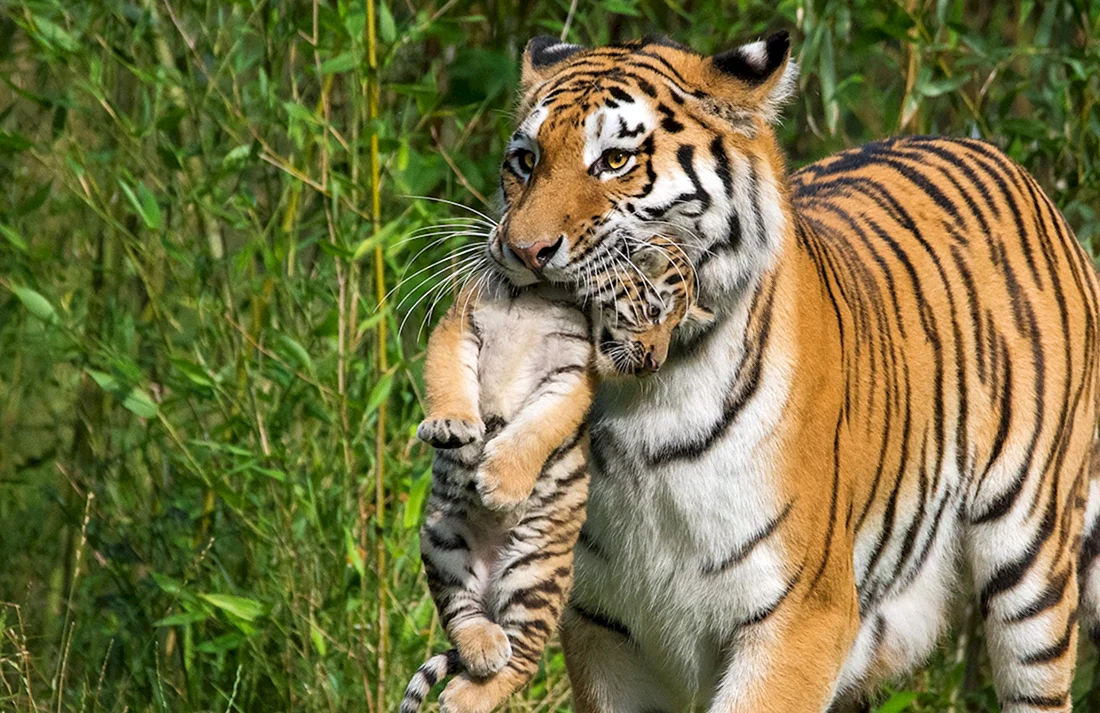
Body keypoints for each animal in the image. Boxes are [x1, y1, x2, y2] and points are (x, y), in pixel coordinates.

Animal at [402, 237, 707, 713]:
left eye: (676, 326)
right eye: (653, 312)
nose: (653, 363)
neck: (536, 294)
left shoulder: (572, 372)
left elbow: (539, 426)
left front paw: (501, 484)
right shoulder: (459, 326)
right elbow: (447, 377)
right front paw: (449, 426)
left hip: (534, 573)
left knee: (522, 660)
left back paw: (464, 695)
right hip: (443, 543)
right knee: (465, 615)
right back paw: (483, 647)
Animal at [474, 30, 1100, 713]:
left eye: (614, 160)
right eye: (525, 161)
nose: (524, 251)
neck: (645, 401)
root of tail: (992, 154)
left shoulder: (800, 614)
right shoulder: (601, 626)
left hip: (1030, 563)